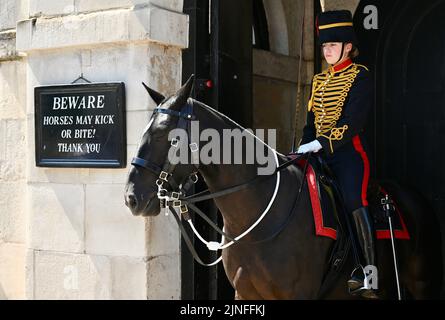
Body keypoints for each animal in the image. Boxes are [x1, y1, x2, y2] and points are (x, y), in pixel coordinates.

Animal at [124, 75, 440, 300]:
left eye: (166, 135)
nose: (131, 198)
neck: (257, 217)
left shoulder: (298, 294)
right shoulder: (246, 293)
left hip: (420, 282)